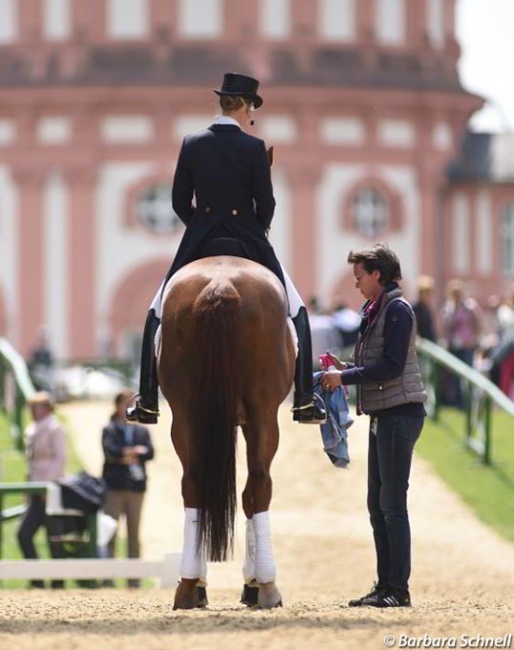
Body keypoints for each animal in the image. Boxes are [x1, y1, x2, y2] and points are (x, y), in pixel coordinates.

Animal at [156, 254, 294, 608]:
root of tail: (221, 283)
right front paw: (253, 582)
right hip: (263, 414)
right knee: (259, 485)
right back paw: (267, 586)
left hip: (186, 414)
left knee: (193, 484)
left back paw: (189, 585)